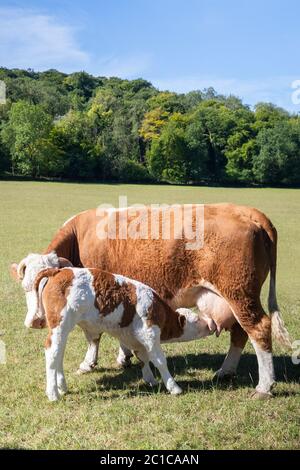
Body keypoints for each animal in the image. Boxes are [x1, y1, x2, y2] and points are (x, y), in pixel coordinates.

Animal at [11, 253, 213, 400]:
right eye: (196, 320)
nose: (210, 324)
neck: (158, 309)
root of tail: (57, 272)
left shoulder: (135, 337)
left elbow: (144, 358)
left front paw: (151, 380)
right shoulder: (149, 333)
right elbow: (159, 360)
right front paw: (173, 387)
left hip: (62, 328)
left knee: (58, 353)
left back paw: (62, 386)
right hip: (60, 324)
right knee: (52, 353)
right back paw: (53, 394)